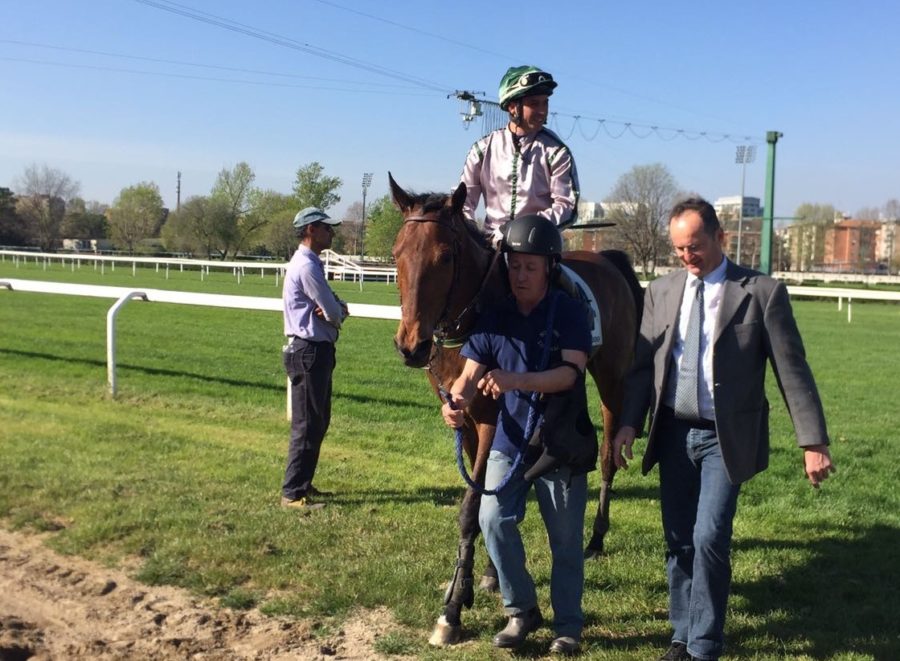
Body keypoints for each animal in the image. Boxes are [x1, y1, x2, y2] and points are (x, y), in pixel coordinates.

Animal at [386, 174, 640, 644]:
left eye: (445, 256)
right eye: (396, 253)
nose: (411, 346)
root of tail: (607, 260)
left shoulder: (491, 421)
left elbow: (470, 508)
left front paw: (453, 608)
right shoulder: (466, 421)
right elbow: (487, 492)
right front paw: (484, 576)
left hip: (612, 379)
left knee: (608, 455)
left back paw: (595, 539)